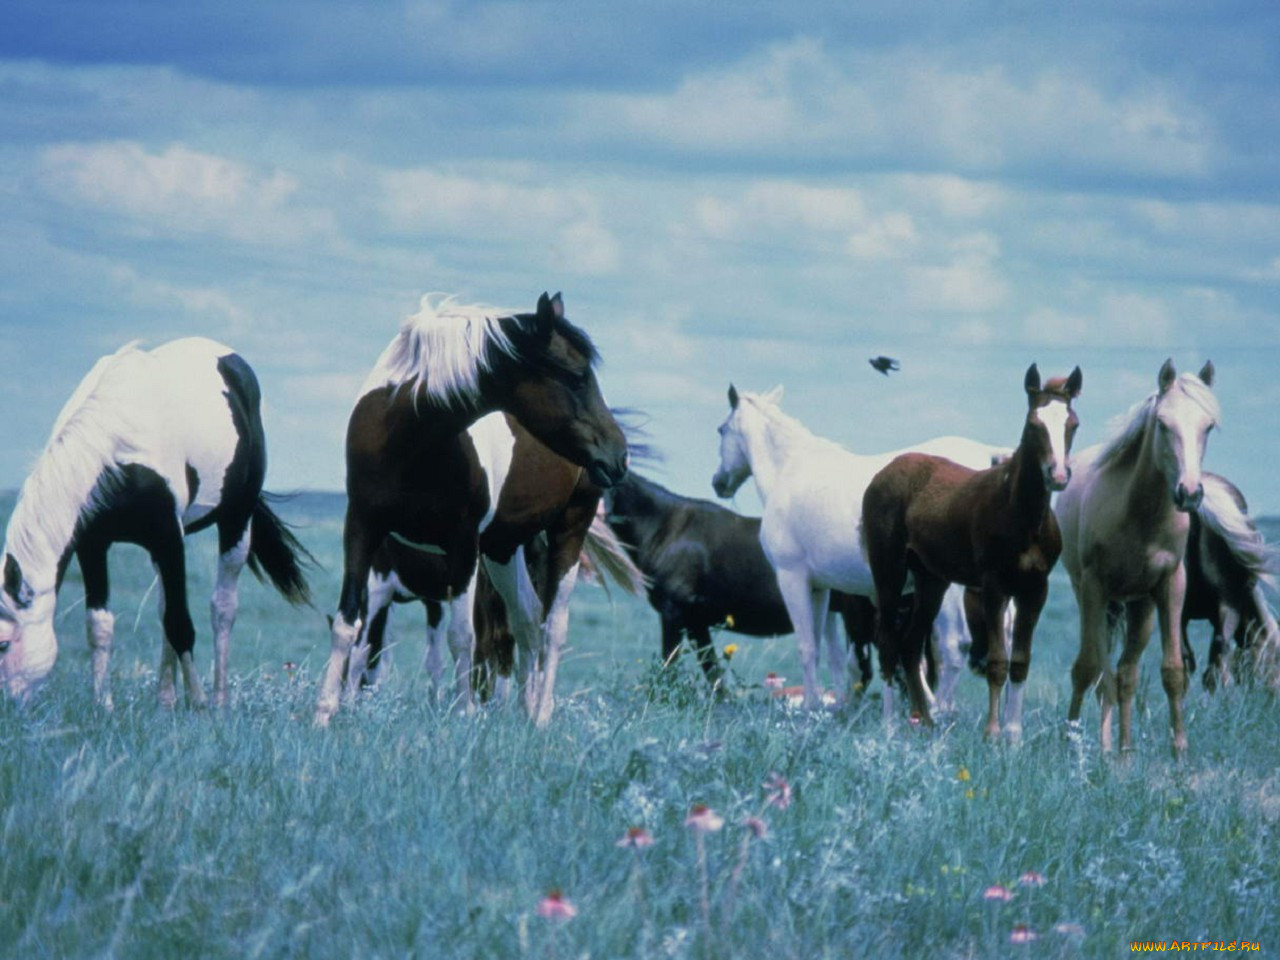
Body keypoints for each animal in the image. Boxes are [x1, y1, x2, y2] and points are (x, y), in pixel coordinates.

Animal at [0, 337, 312, 706]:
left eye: (3, 643)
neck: (113, 452)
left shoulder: (168, 539)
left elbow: (180, 623)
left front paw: (199, 702)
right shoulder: (94, 544)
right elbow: (101, 624)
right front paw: (103, 704)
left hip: (236, 520)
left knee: (222, 607)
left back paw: (219, 701)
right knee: (166, 604)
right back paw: (165, 698)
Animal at [314, 293, 624, 727]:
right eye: (577, 376)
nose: (619, 456)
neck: (404, 437)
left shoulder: (461, 542)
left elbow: (461, 636)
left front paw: (463, 715)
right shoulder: (362, 527)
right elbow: (347, 623)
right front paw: (323, 716)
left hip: (569, 529)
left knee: (553, 627)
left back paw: (541, 717)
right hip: (502, 548)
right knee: (527, 620)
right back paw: (525, 712)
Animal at [711, 384, 1008, 716]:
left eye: (721, 429)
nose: (718, 482)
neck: (788, 472)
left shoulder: (792, 577)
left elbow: (806, 646)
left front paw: (809, 709)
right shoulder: (819, 587)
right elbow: (819, 648)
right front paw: (817, 706)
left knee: (954, 647)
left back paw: (938, 711)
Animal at [860, 363, 1080, 742]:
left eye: (1073, 424)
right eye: (1033, 424)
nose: (1058, 474)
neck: (1021, 516)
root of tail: (883, 473)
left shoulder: (1035, 589)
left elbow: (1020, 662)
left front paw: (1014, 736)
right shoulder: (992, 587)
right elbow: (997, 662)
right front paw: (992, 734)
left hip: (931, 580)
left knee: (911, 644)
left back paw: (927, 723)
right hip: (888, 571)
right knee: (888, 641)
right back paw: (889, 727)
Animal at [1054, 358, 1223, 757]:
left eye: (1208, 425)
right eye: (1162, 423)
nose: (1190, 493)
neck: (1138, 515)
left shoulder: (1170, 586)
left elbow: (1172, 671)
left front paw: (1179, 751)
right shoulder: (1095, 588)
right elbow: (1091, 669)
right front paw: (1088, 749)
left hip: (1139, 606)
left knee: (1125, 673)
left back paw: (1126, 751)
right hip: (1091, 597)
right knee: (1095, 671)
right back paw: (1092, 743)